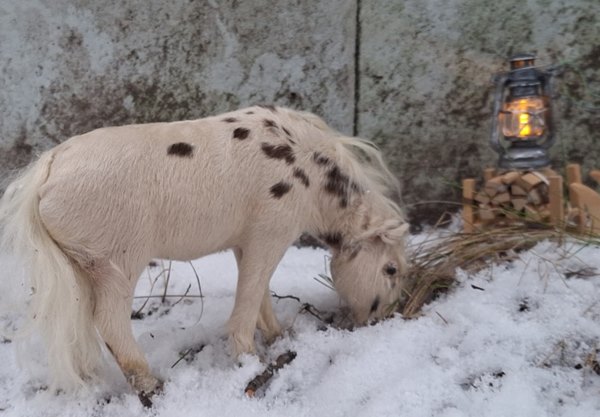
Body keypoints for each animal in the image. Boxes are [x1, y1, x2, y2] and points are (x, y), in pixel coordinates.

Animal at [0, 105, 409, 404]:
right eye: (391, 269)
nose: (381, 318)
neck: (309, 173)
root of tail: (46, 172)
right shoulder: (270, 234)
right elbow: (249, 297)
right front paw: (250, 363)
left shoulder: (247, 243)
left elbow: (260, 294)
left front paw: (281, 337)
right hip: (119, 261)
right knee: (109, 321)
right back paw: (154, 387)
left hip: (80, 267)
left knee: (78, 323)